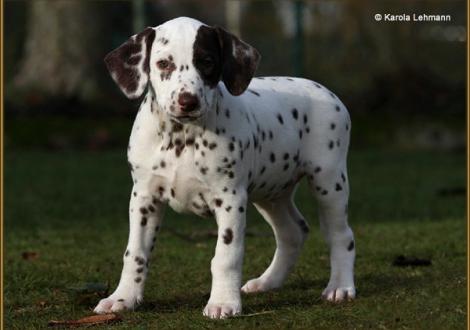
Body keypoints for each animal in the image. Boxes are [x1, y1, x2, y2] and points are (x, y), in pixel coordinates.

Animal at [93, 16, 354, 318]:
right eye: (164, 63)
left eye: (207, 61)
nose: (188, 101)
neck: (182, 137)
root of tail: (325, 90)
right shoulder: (144, 198)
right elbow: (135, 252)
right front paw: (123, 297)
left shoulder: (230, 199)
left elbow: (226, 256)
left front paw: (223, 302)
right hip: (271, 193)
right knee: (292, 232)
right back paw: (267, 282)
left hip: (329, 182)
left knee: (341, 235)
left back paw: (340, 287)